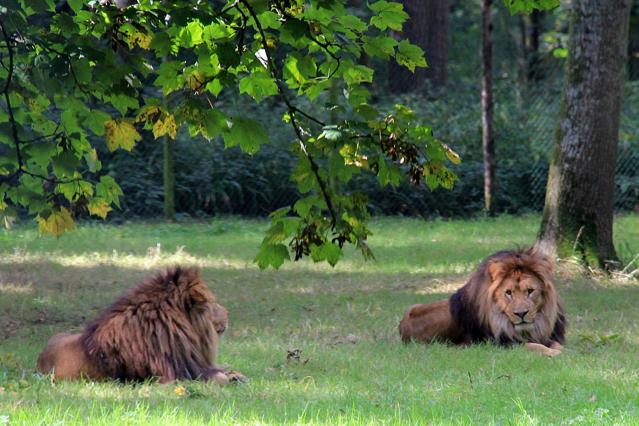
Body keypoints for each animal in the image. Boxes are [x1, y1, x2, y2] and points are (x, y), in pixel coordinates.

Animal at [36, 266, 245, 382]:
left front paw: (236, 375)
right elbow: (218, 378)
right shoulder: (175, 375)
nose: (228, 313)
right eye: (212, 303)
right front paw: (230, 378)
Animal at [400, 248, 564, 358]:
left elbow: (556, 344)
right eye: (508, 293)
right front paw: (553, 353)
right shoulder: (498, 343)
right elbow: (532, 346)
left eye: (530, 291)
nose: (521, 314)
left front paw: (561, 350)